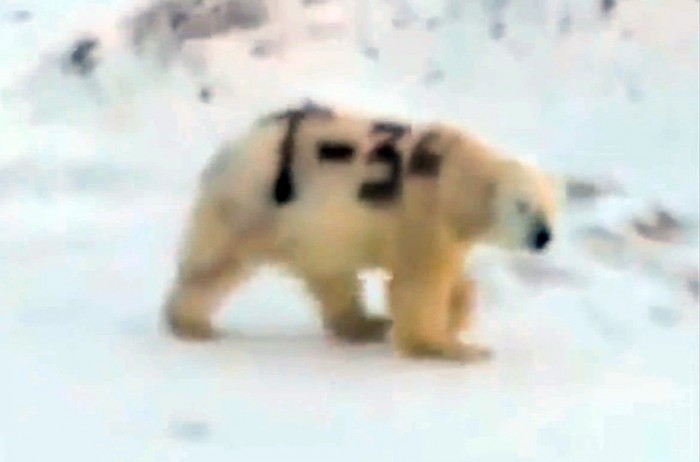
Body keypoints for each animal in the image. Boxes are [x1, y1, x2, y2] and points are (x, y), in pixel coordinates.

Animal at [161, 101, 560, 363]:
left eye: (550, 208)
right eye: (523, 205)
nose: (542, 236)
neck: (454, 176)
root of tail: (232, 148)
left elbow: (452, 278)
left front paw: (456, 314)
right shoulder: (422, 212)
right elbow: (420, 284)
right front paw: (451, 348)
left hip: (305, 229)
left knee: (332, 278)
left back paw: (366, 325)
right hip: (255, 203)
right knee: (215, 264)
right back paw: (192, 324)